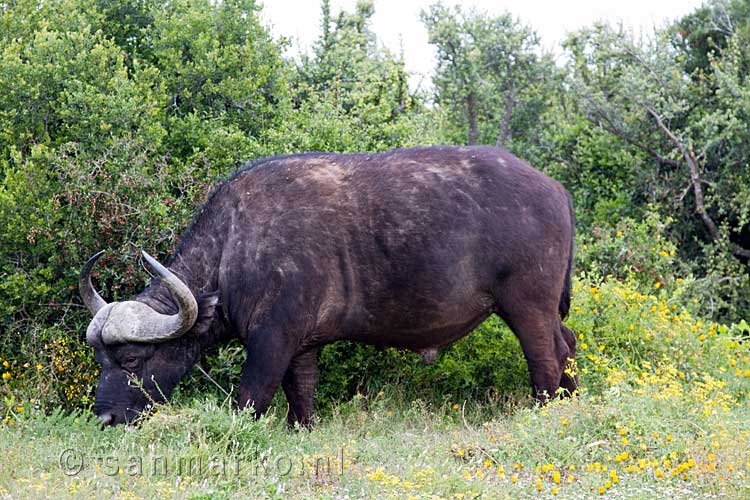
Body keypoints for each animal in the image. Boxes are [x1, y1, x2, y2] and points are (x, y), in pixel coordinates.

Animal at [81, 145, 576, 426]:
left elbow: (250, 400)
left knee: (546, 360)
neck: (236, 244)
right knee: (568, 344)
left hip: (527, 305)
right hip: (546, 310)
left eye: (130, 358)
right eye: (99, 359)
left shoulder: (272, 341)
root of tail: (555, 189)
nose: (104, 417)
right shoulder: (303, 347)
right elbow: (301, 401)